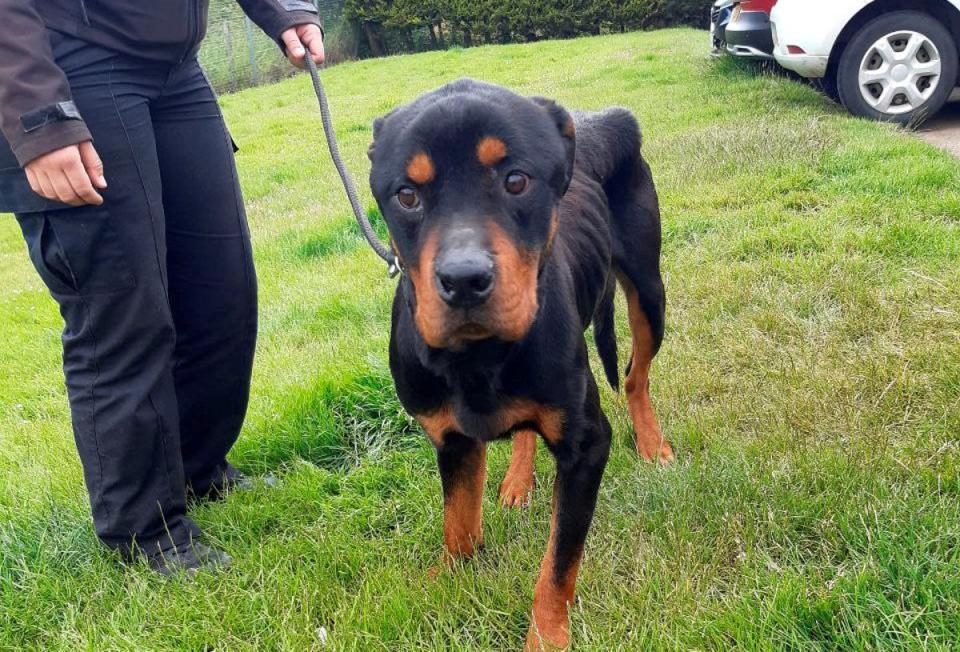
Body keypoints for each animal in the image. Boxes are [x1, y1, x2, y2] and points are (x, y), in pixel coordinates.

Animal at [368, 79, 676, 648]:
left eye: (516, 180)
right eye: (407, 195)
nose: (464, 280)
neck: (477, 357)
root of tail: (603, 120)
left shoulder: (586, 448)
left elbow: (559, 562)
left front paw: (548, 634)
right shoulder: (452, 439)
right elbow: (459, 527)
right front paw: (446, 582)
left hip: (649, 290)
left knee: (634, 375)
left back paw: (650, 442)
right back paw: (517, 479)